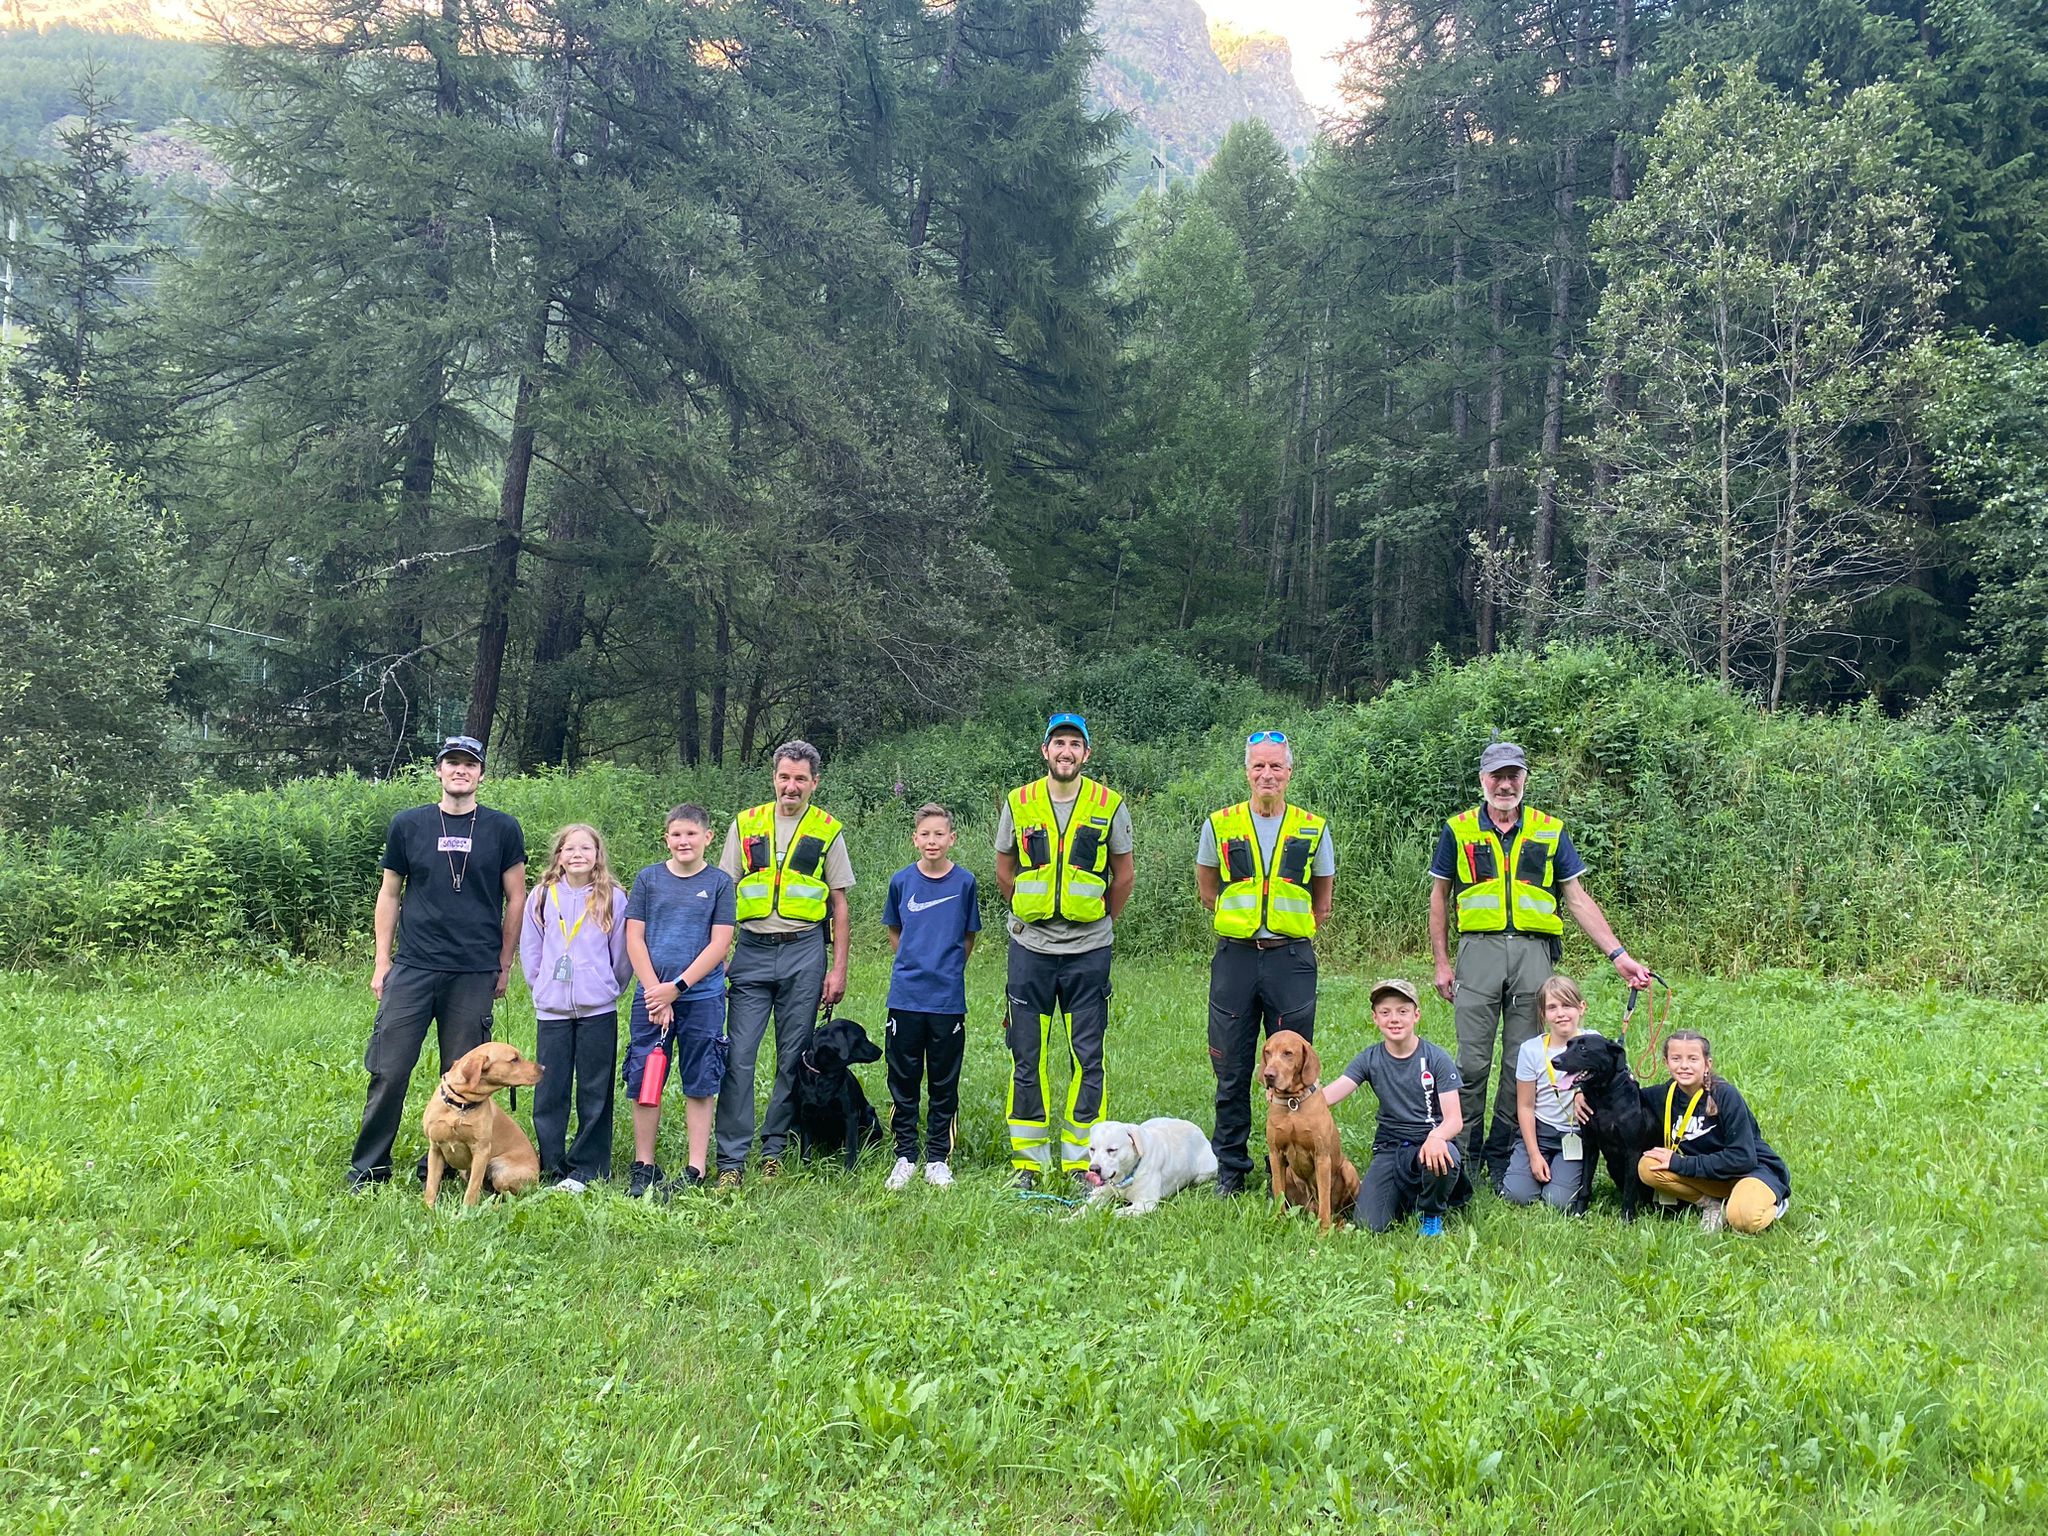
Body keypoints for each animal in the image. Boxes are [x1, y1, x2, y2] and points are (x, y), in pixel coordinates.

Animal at [421, 1041, 545, 1208]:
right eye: (514, 1059)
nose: (543, 1068)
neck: (459, 1105)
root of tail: (538, 1176)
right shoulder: (435, 1149)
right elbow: (431, 1185)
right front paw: (428, 1208)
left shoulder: (481, 1151)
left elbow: (472, 1189)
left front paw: (467, 1210)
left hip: (499, 1169)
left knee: (509, 1197)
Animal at [793, 1015, 885, 1171]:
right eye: (862, 1037)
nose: (880, 1051)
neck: (824, 1075)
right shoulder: (805, 1115)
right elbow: (806, 1147)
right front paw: (805, 1169)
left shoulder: (851, 1115)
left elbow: (851, 1147)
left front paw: (849, 1170)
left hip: (869, 1116)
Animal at [1080, 1118, 1218, 1216]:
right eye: (1092, 1149)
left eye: (1112, 1150)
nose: (1093, 1169)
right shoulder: (1100, 1194)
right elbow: (1083, 1209)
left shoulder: (1145, 1204)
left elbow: (1113, 1213)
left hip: (1204, 1173)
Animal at [1261, 1030, 1359, 1230]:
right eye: (1267, 1052)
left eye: (1288, 1053)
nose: (1268, 1075)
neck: (1293, 1103)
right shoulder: (1275, 1154)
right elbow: (1278, 1192)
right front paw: (1278, 1221)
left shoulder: (1321, 1156)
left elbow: (1324, 1199)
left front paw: (1323, 1231)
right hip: (1289, 1175)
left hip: (1348, 1169)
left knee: (1336, 1209)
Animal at [1552, 1032, 1655, 1219]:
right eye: (1567, 1045)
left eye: (1583, 1048)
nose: (1554, 1061)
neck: (1603, 1097)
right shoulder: (1590, 1145)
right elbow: (1584, 1185)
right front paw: (1579, 1213)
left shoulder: (1633, 1152)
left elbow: (1629, 1190)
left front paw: (1626, 1218)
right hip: (1612, 1166)